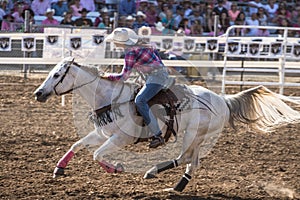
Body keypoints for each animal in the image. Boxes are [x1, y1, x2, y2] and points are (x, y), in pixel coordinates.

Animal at [34, 56, 298, 192]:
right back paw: (177, 185)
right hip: (197, 137)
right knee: (192, 161)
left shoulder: (121, 138)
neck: (110, 99)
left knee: (185, 158)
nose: (38, 93)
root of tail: (222, 100)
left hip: (193, 134)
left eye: (57, 75)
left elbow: (96, 154)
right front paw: (59, 168)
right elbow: (77, 145)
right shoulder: (102, 133)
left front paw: (117, 167)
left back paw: (154, 172)